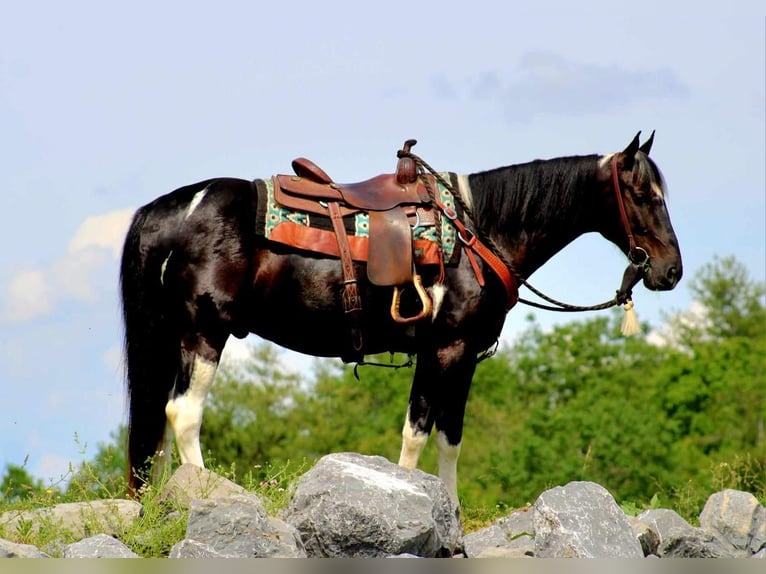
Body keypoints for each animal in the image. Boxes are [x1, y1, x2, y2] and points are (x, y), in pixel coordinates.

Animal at [120, 133, 684, 506]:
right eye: (641, 194)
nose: (671, 270)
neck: (479, 231)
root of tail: (166, 210)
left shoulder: (465, 357)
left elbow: (451, 439)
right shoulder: (444, 350)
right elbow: (416, 433)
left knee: (158, 429)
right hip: (203, 332)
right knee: (183, 414)